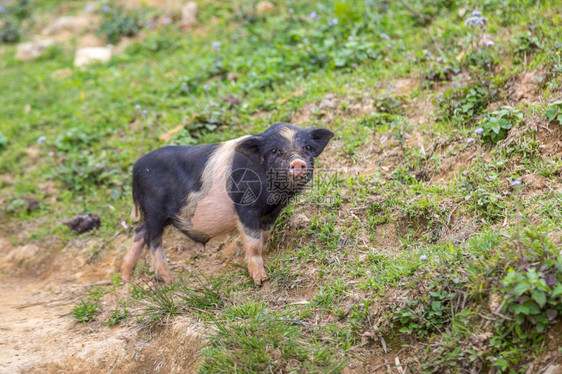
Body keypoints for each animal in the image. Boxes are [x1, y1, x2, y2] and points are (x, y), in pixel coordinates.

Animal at [120, 122, 332, 284]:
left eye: (307, 148)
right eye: (274, 151)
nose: (297, 162)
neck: (275, 192)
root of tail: (135, 169)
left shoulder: (274, 211)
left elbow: (264, 235)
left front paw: (265, 255)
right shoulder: (245, 206)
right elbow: (253, 241)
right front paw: (260, 280)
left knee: (139, 232)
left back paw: (127, 278)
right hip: (153, 209)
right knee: (153, 241)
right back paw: (169, 281)